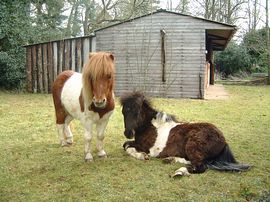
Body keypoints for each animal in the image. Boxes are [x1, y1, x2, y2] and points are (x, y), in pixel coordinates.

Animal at [120, 91, 251, 177]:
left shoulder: (146, 147)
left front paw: (142, 156)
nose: (128, 133)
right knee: (195, 162)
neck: (151, 126)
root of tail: (223, 140)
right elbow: (125, 144)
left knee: (200, 166)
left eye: (137, 112)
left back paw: (179, 172)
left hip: (192, 145)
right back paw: (170, 159)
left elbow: (128, 148)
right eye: (123, 112)